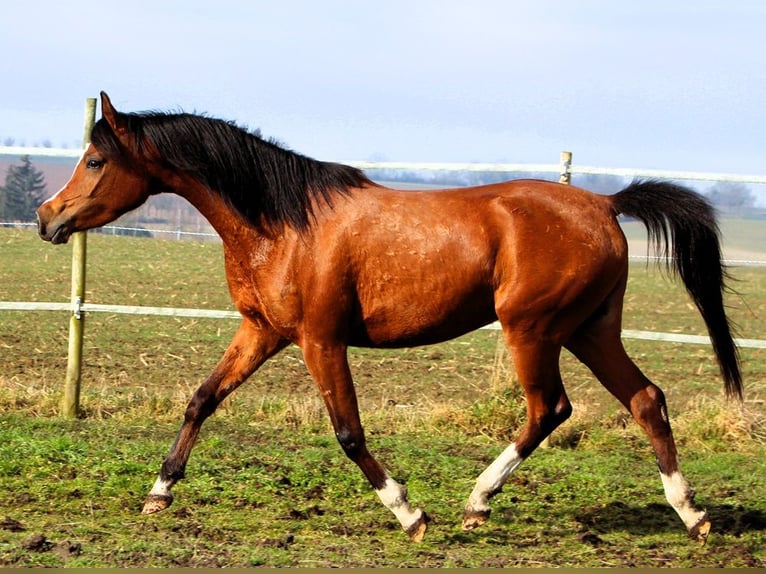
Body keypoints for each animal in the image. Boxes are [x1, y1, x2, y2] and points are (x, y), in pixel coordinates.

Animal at [36, 93, 744, 544]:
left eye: (96, 161)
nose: (47, 217)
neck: (282, 223)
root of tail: (604, 202)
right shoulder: (262, 331)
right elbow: (201, 399)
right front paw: (159, 493)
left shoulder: (321, 340)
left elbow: (349, 433)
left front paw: (409, 513)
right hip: (589, 330)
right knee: (645, 398)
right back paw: (692, 515)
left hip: (534, 331)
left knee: (551, 409)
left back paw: (476, 501)